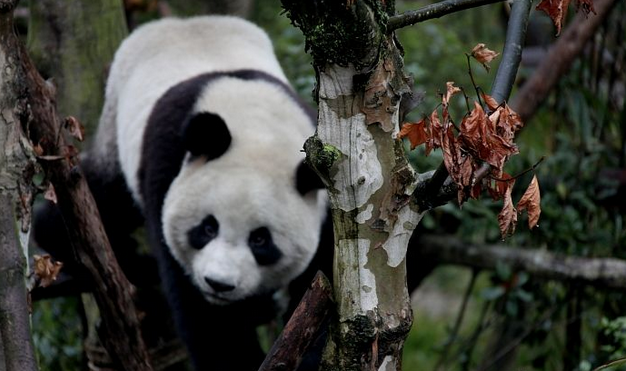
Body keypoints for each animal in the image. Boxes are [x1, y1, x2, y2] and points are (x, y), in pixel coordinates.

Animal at [34, 15, 330, 371]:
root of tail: (186, 21)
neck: (258, 131)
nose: (219, 284)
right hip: (116, 132)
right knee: (101, 197)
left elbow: (323, 284)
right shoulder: (169, 164)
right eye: (207, 227)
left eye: (260, 240)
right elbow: (203, 315)